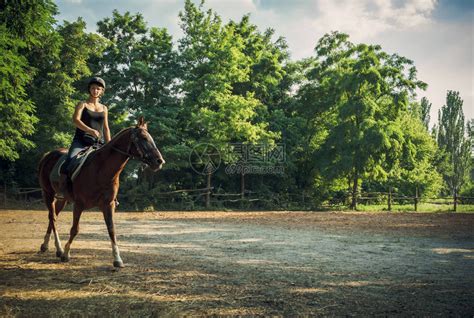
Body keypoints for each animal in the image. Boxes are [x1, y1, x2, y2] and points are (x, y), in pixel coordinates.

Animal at [37, 118, 164, 268]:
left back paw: (48, 246)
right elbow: (75, 229)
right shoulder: (78, 205)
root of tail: (48, 155)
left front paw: (117, 259)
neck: (100, 170)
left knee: (53, 217)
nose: (159, 161)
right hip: (48, 194)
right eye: (144, 138)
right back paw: (58, 248)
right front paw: (66, 254)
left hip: (62, 199)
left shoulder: (108, 205)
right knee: (53, 218)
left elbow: (111, 229)